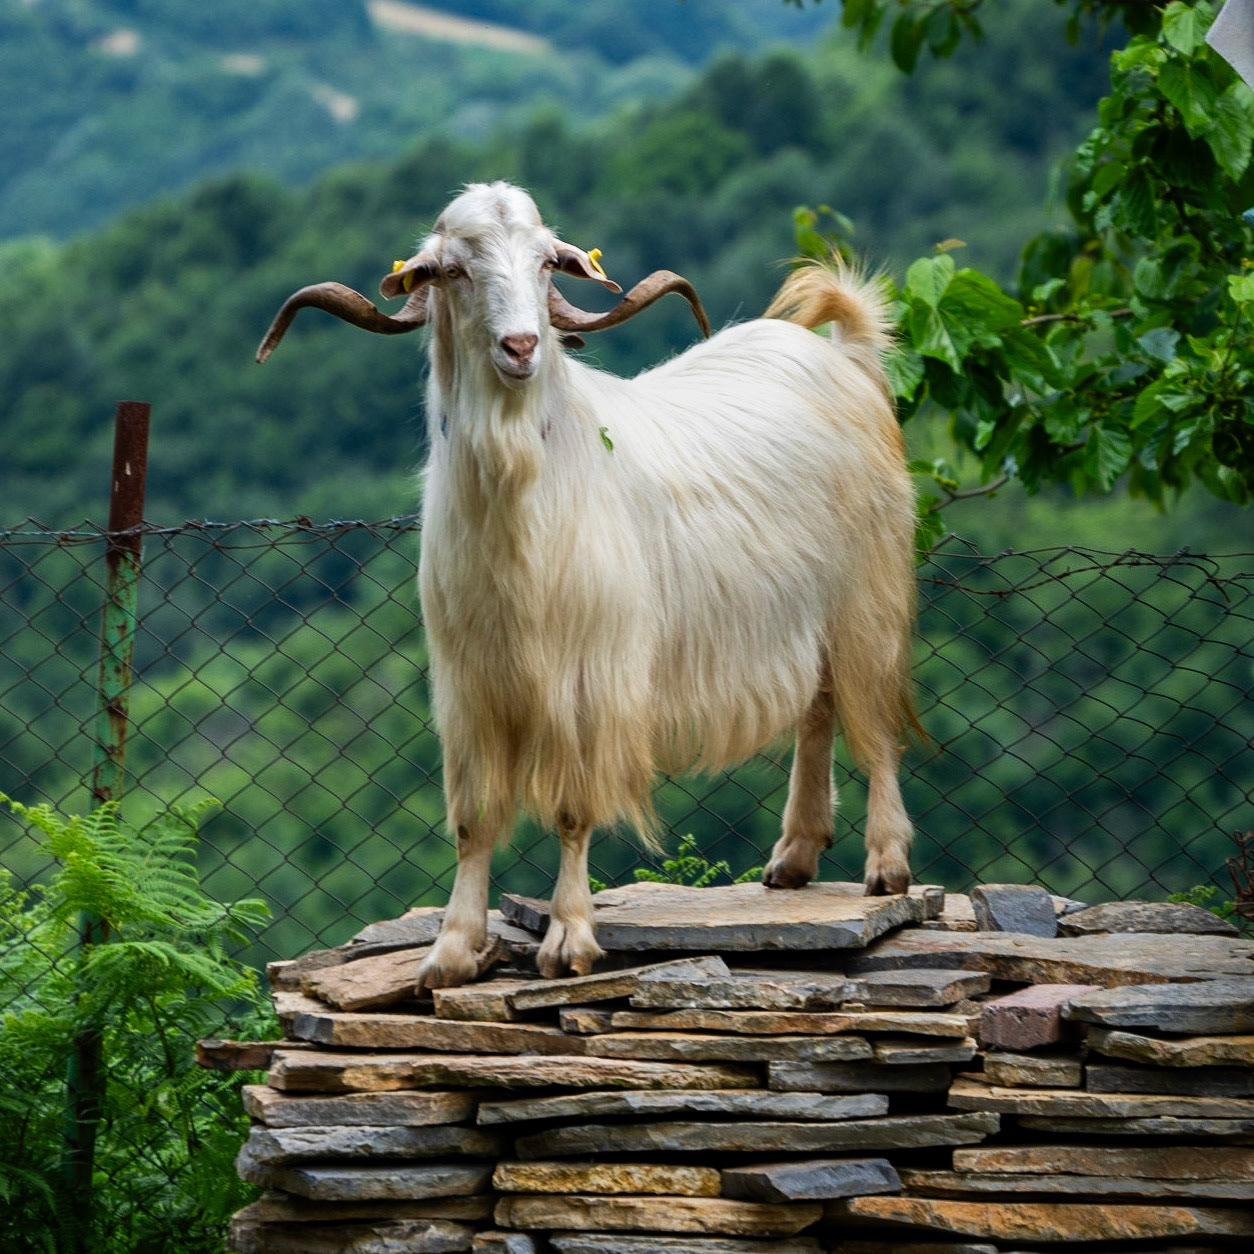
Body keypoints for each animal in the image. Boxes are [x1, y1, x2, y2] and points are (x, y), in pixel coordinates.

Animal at [258, 181, 919, 989]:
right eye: (451, 270)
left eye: (547, 262)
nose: (521, 347)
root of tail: (845, 355)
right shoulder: (471, 688)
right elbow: (473, 819)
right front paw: (452, 951)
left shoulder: (588, 681)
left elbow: (573, 810)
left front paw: (569, 938)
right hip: (805, 613)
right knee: (819, 707)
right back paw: (793, 857)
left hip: (867, 595)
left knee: (874, 720)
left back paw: (886, 866)